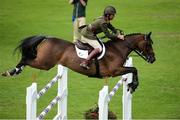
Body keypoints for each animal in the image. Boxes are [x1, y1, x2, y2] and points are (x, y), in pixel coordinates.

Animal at [0, 32, 155, 93]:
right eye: (148, 45)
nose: (153, 59)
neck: (118, 49)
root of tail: (47, 38)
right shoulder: (115, 70)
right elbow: (134, 69)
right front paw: (133, 85)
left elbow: (134, 69)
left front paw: (131, 85)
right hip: (44, 63)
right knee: (26, 60)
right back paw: (12, 71)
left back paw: (13, 71)